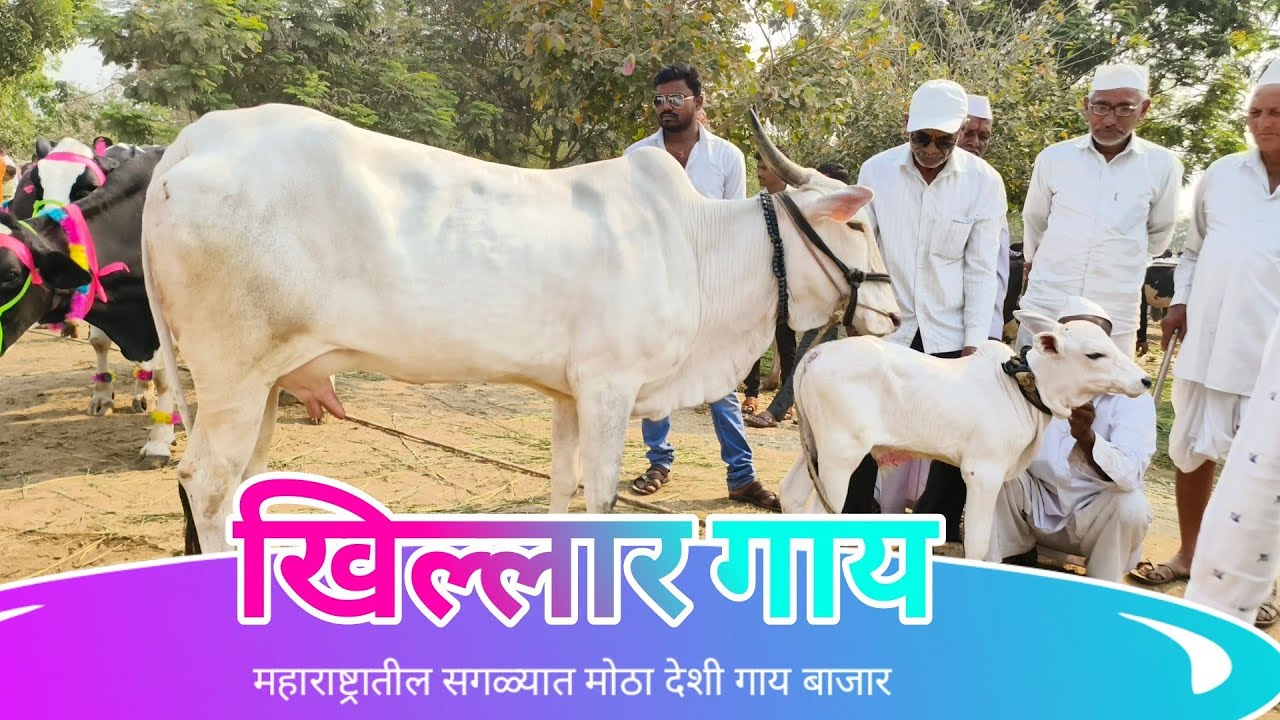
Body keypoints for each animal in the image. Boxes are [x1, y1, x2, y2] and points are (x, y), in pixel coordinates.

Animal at [129, 102, 901, 554]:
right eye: (858, 224)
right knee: (204, 483)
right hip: (231, 378)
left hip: (261, 386)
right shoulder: (609, 388)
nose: (896, 315)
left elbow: (562, 487)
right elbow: (601, 495)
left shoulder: (568, 394)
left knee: (237, 484)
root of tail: (196, 139)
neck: (694, 246)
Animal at [778, 309, 1151, 563]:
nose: (1145, 381)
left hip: (815, 447)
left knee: (792, 496)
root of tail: (816, 354)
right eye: (1095, 354)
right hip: (841, 455)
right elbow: (978, 542)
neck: (1022, 388)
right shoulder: (982, 473)